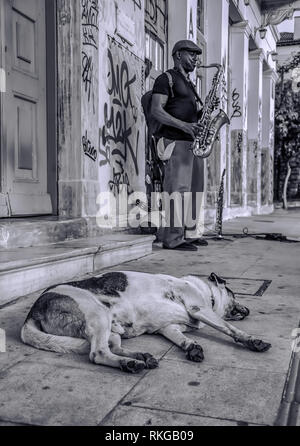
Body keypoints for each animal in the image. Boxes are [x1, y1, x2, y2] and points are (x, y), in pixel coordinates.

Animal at [19, 272, 270, 372]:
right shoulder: (200, 310)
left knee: (113, 346)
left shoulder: (169, 328)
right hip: (99, 315)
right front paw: (252, 340)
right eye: (233, 293)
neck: (203, 291)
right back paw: (129, 363)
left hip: (112, 328)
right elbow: (229, 328)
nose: (248, 309)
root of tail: (32, 311)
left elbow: (181, 338)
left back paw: (141, 356)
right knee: (98, 353)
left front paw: (191, 347)